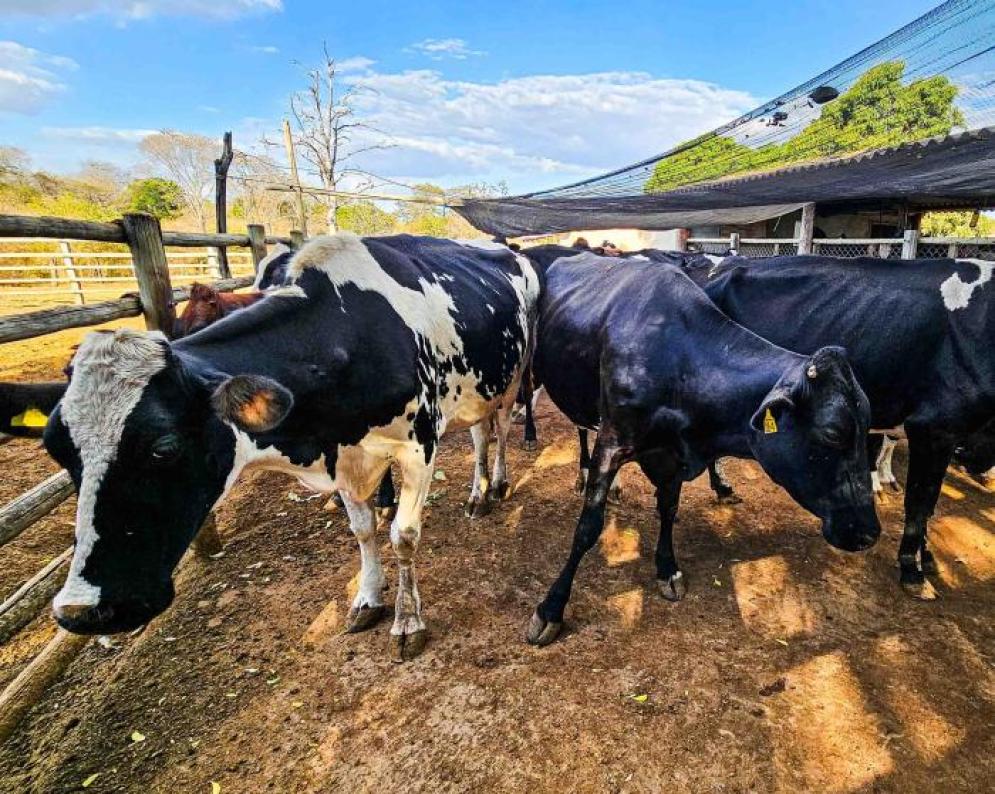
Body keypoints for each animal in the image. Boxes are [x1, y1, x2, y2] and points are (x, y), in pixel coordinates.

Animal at [40, 233, 539, 662]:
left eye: (164, 446)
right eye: (57, 449)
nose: (81, 611)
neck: (343, 337)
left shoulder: (417, 447)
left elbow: (403, 536)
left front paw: (407, 621)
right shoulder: (344, 456)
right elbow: (363, 531)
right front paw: (367, 599)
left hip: (513, 378)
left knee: (499, 434)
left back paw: (495, 484)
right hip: (476, 388)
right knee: (478, 435)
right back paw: (476, 492)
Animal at [519, 247, 879, 646]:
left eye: (867, 427)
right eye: (833, 432)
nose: (869, 533)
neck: (679, 360)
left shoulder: (671, 454)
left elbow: (668, 508)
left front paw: (667, 567)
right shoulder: (613, 441)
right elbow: (587, 527)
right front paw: (550, 609)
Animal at [691, 253, 995, 599]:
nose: (975, 463)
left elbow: (929, 503)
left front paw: (926, 558)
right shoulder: (933, 427)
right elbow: (920, 503)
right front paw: (912, 570)